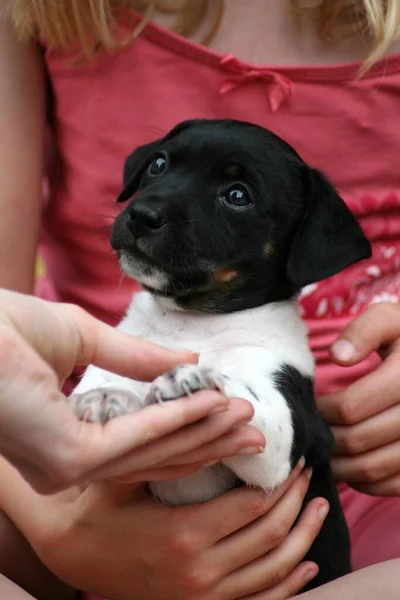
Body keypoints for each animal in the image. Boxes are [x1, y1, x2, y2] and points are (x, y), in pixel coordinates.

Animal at [71, 118, 372, 592]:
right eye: (158, 164)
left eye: (237, 195)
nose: (141, 215)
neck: (193, 322)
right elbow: (103, 380)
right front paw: (106, 397)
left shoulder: (282, 443)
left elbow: (253, 400)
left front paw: (192, 381)